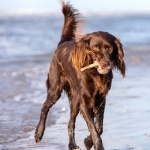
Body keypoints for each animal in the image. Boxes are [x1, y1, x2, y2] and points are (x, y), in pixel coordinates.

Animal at [34, 1, 125, 150]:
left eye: (110, 48)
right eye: (95, 48)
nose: (105, 64)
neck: (95, 73)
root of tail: (62, 43)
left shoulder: (100, 100)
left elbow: (99, 128)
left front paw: (88, 141)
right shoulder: (85, 102)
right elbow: (94, 129)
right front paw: (96, 144)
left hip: (75, 99)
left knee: (70, 122)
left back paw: (72, 145)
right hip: (55, 89)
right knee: (45, 107)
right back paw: (38, 133)